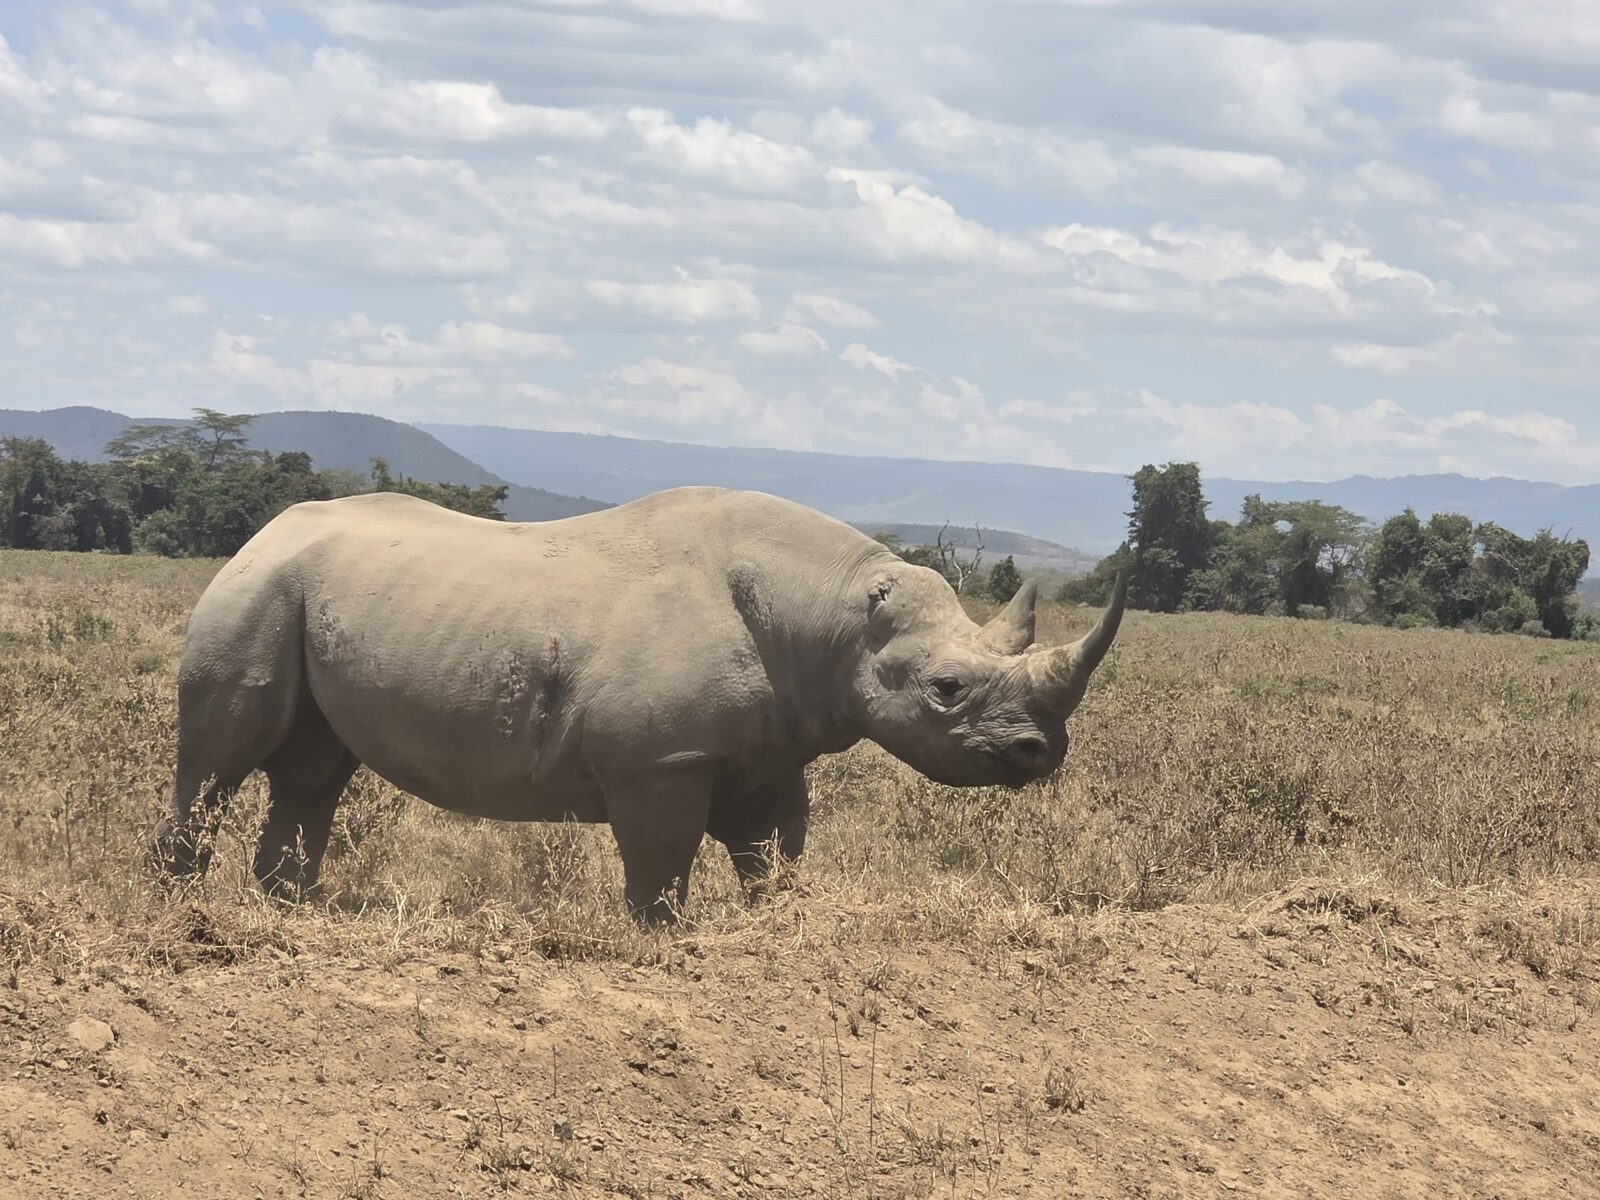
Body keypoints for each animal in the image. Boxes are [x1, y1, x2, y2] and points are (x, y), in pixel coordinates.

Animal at [152, 487, 1126, 921]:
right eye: (946, 690)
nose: (1042, 753)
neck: (835, 613)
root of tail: (264, 529)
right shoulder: (660, 759)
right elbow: (661, 857)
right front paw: (660, 932)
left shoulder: (772, 749)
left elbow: (775, 849)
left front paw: (773, 919)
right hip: (255, 591)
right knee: (222, 759)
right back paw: (182, 908)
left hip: (309, 592)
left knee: (316, 770)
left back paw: (297, 908)